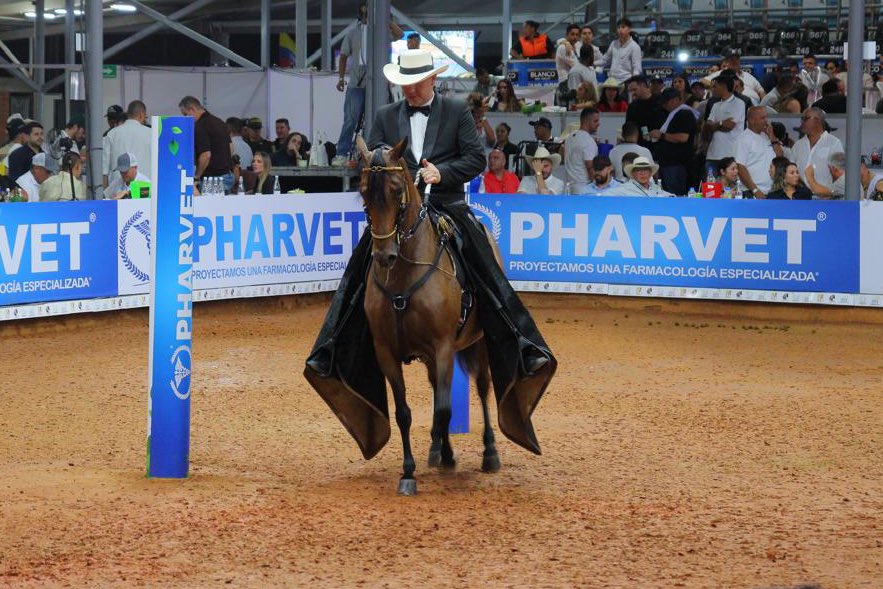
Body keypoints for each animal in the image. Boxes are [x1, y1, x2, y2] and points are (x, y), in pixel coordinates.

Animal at [355, 135, 501, 496]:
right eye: (364, 191)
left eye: (396, 190)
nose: (384, 256)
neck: (404, 276)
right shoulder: (386, 352)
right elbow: (405, 412)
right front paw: (409, 472)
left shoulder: (444, 346)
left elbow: (446, 408)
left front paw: (449, 458)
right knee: (438, 391)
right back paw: (436, 448)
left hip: (478, 343)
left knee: (482, 387)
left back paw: (489, 452)